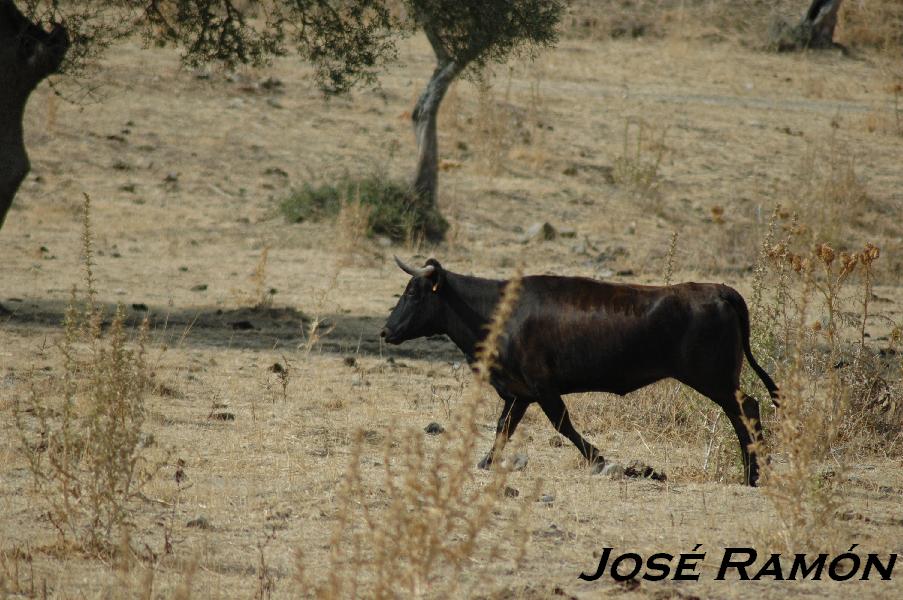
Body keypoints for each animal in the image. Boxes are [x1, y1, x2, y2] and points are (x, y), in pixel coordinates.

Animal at [378, 256, 780, 482]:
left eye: (413, 293)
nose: (385, 331)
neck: (498, 311)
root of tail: (720, 290)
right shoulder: (519, 392)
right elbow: (504, 427)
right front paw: (486, 462)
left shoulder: (542, 386)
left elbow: (562, 424)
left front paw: (599, 459)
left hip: (715, 379)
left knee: (746, 409)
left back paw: (755, 473)